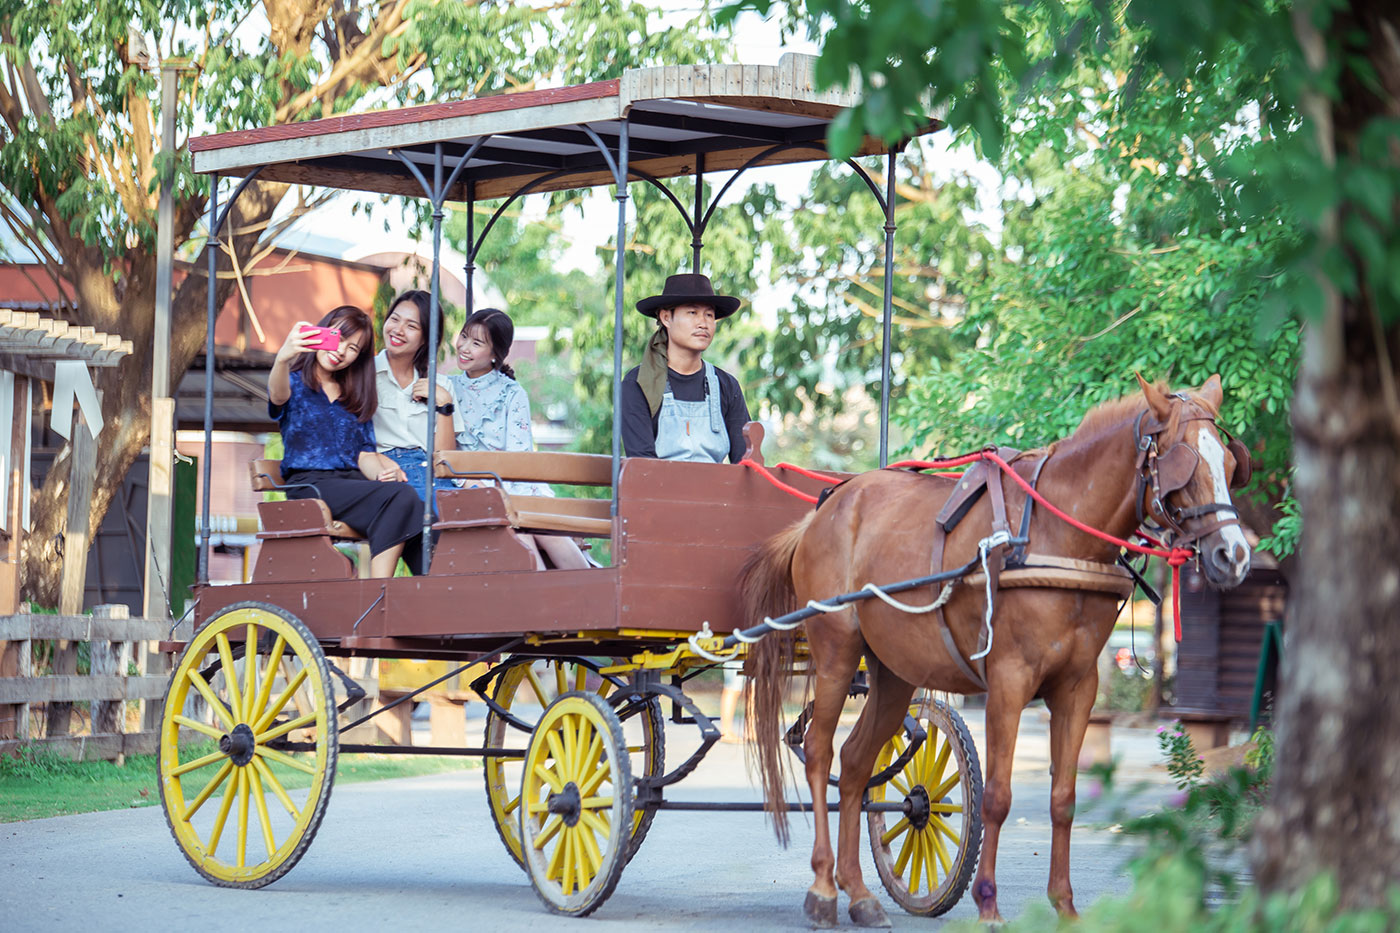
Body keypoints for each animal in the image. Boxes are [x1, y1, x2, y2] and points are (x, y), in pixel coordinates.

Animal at [739, 372, 1254, 924]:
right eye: (1184, 466)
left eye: (1230, 466)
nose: (1234, 556)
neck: (1056, 535)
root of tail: (824, 511)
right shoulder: (1008, 681)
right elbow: (998, 798)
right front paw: (988, 904)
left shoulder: (1078, 688)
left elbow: (1064, 797)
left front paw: (1064, 906)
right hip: (836, 651)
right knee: (819, 754)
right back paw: (823, 888)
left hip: (894, 670)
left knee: (856, 763)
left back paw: (858, 893)